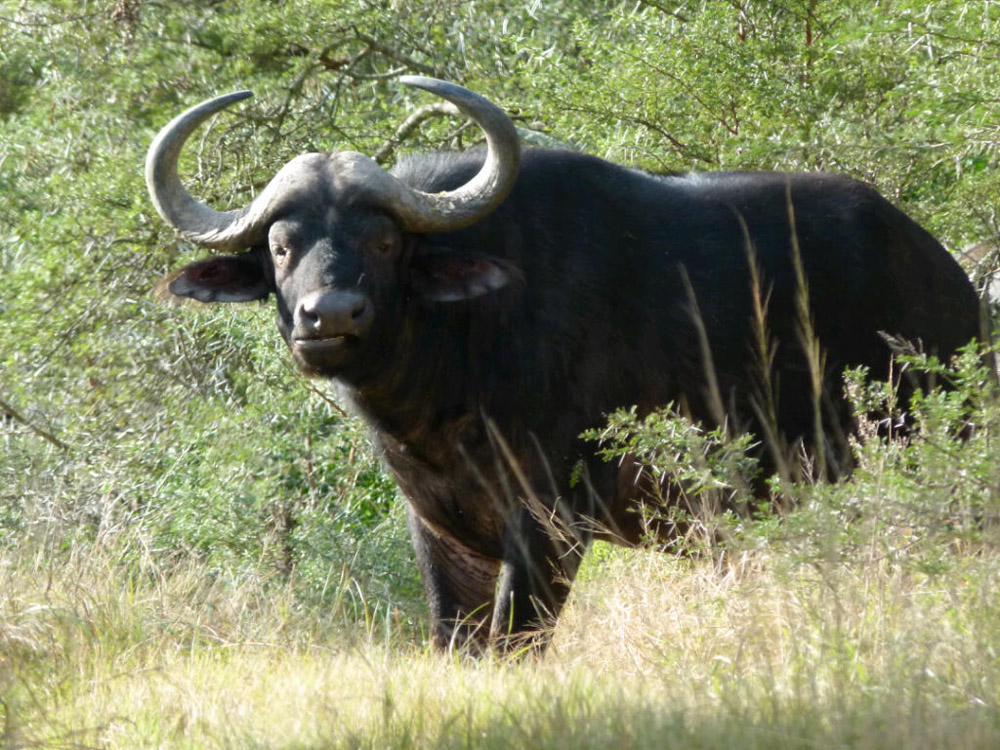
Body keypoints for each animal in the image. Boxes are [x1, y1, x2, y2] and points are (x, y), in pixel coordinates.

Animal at [145, 77, 981, 651]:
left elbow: (516, 643)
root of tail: (956, 286)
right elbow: (458, 644)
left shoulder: (552, 520)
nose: (331, 316)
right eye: (283, 246)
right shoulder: (443, 533)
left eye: (383, 241)